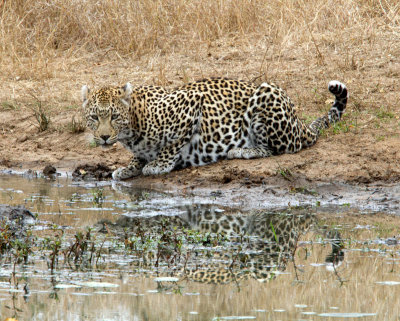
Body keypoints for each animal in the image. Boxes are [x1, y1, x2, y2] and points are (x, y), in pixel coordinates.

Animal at [80, 76, 346, 179]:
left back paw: (242, 150)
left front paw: (158, 164)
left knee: (278, 149)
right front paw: (128, 168)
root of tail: (299, 123)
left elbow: (173, 145)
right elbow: (138, 157)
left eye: (114, 116)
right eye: (94, 117)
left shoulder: (191, 102)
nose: (104, 137)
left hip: (266, 95)